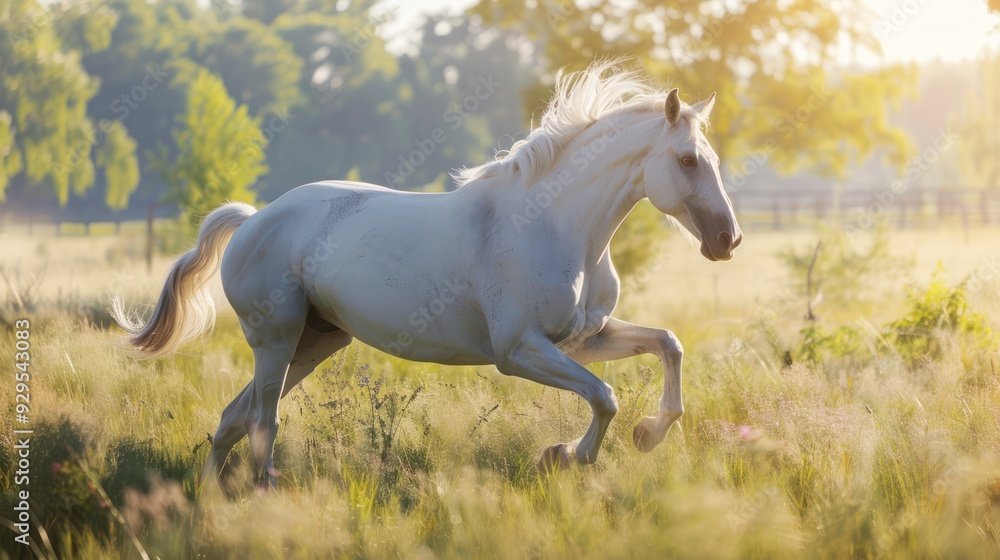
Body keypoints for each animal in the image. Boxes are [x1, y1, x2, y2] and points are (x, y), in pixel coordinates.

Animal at [112, 61, 742, 489]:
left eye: (711, 159)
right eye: (688, 160)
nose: (727, 241)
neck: (556, 225)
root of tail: (252, 219)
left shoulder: (583, 340)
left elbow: (667, 345)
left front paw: (648, 434)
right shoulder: (520, 351)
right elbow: (606, 397)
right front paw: (565, 456)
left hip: (313, 343)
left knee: (232, 419)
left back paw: (212, 496)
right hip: (276, 341)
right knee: (261, 422)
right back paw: (263, 494)